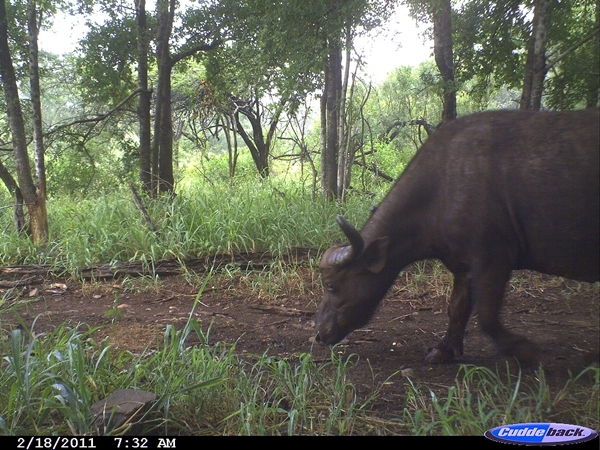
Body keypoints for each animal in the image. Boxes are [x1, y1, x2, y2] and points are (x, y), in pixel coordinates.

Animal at [316, 106, 596, 362]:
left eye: (331, 285)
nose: (319, 333)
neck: (440, 190)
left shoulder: (493, 259)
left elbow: (487, 316)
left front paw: (522, 348)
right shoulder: (464, 268)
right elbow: (457, 309)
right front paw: (445, 349)